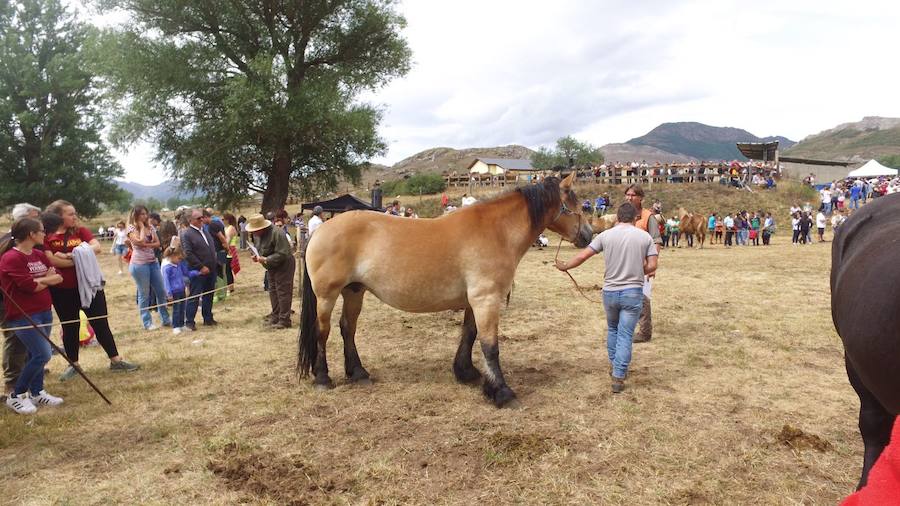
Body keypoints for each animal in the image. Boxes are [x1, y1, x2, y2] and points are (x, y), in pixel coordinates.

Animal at [298, 173, 596, 408]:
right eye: (575, 205)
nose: (589, 235)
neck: (496, 231)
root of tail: (321, 229)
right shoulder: (486, 299)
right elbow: (490, 347)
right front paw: (502, 392)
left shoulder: (474, 301)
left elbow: (469, 334)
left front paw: (466, 372)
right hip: (327, 296)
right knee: (322, 332)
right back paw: (323, 378)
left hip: (354, 292)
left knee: (347, 328)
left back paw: (358, 373)